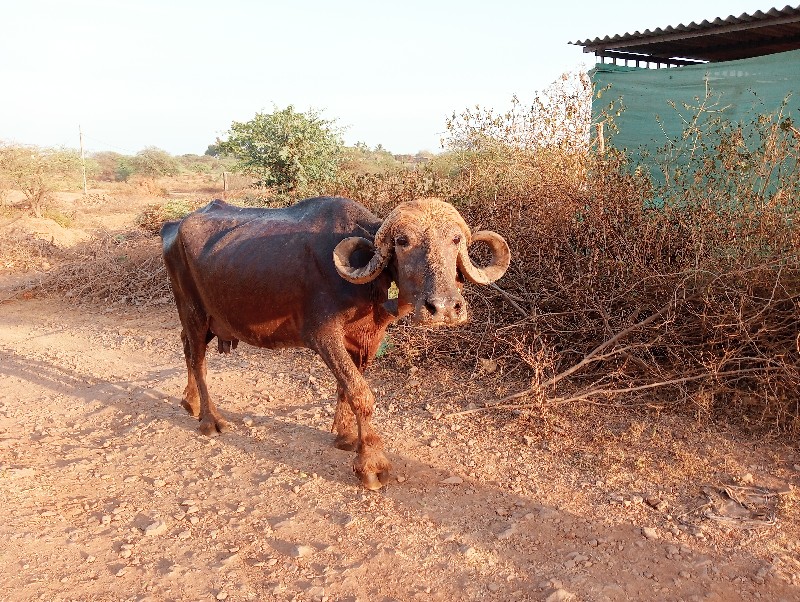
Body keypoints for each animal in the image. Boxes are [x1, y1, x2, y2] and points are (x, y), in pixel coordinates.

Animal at [162, 197, 510, 488]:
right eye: (403, 241)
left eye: (455, 240)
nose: (444, 308)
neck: (366, 287)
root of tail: (172, 228)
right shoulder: (322, 335)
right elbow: (360, 392)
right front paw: (371, 464)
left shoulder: (366, 338)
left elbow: (347, 386)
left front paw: (345, 436)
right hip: (193, 311)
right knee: (198, 361)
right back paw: (210, 420)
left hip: (206, 320)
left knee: (186, 347)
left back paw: (190, 402)